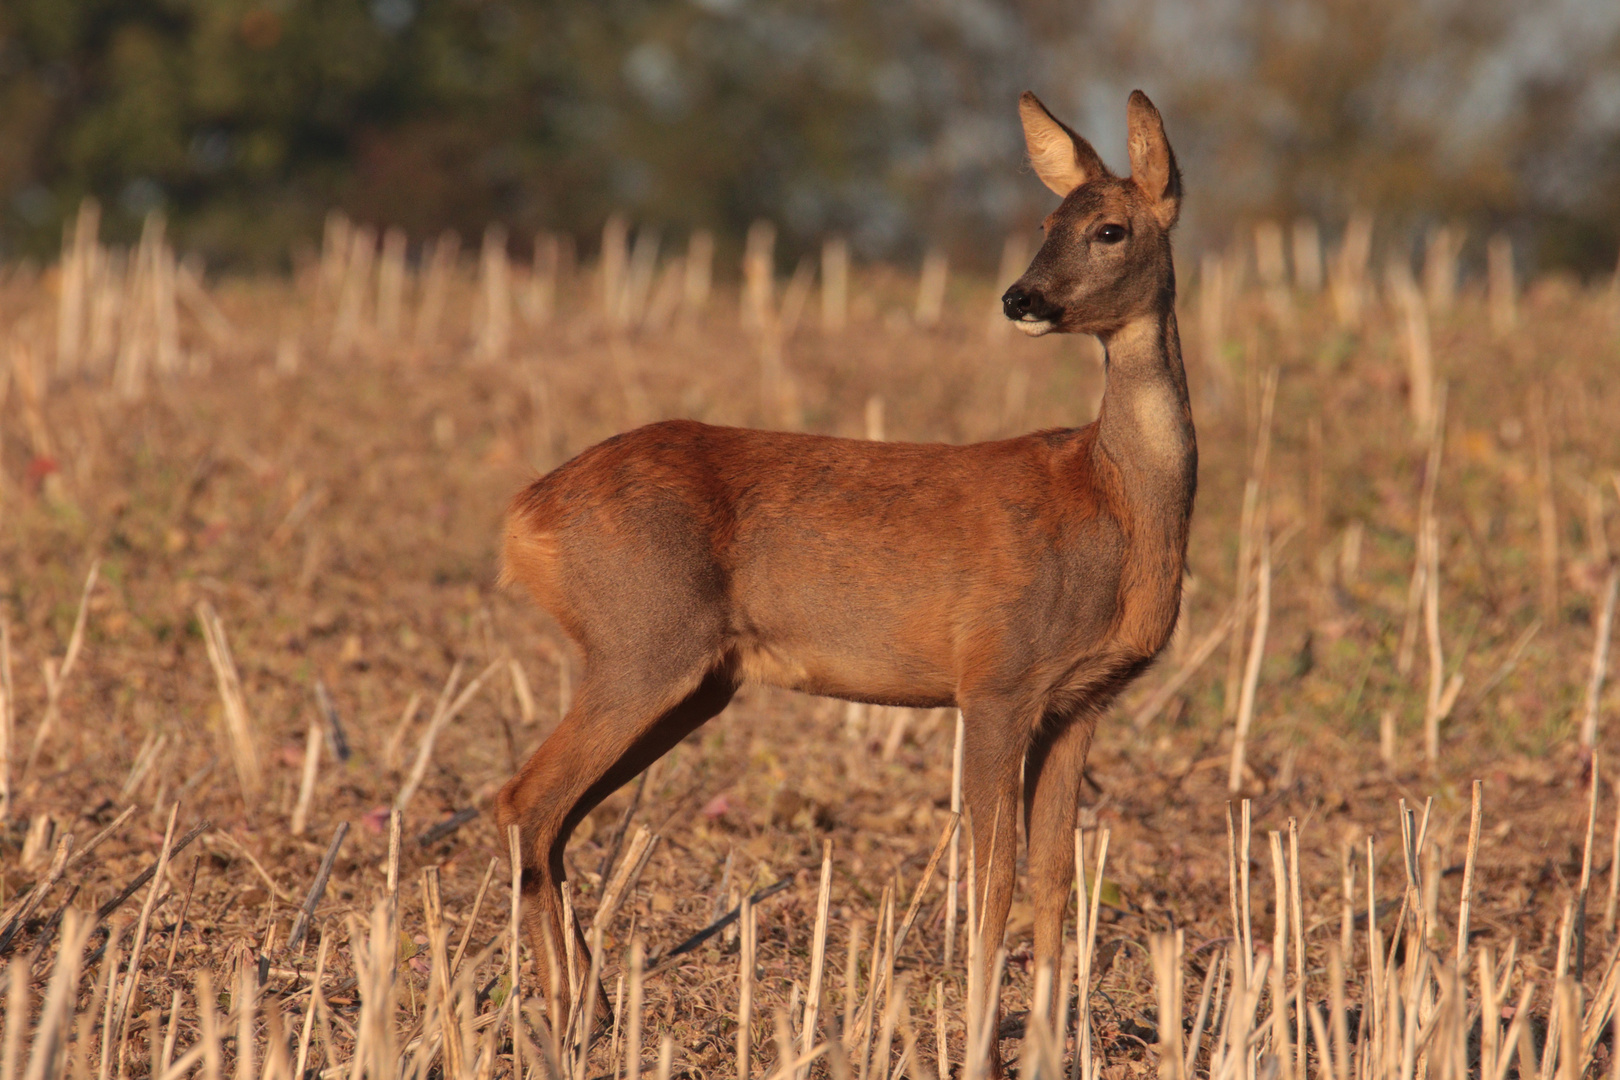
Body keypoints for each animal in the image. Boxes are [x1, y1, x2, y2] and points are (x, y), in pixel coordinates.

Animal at [498, 90, 1198, 1055]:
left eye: (1109, 228)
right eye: (1045, 223)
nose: (1021, 297)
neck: (1114, 503)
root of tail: (525, 513)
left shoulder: (1081, 700)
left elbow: (1058, 875)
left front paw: (1057, 1044)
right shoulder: (996, 676)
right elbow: (994, 871)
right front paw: (979, 1038)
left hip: (690, 676)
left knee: (556, 814)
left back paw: (593, 1012)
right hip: (641, 639)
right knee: (525, 799)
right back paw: (569, 1019)